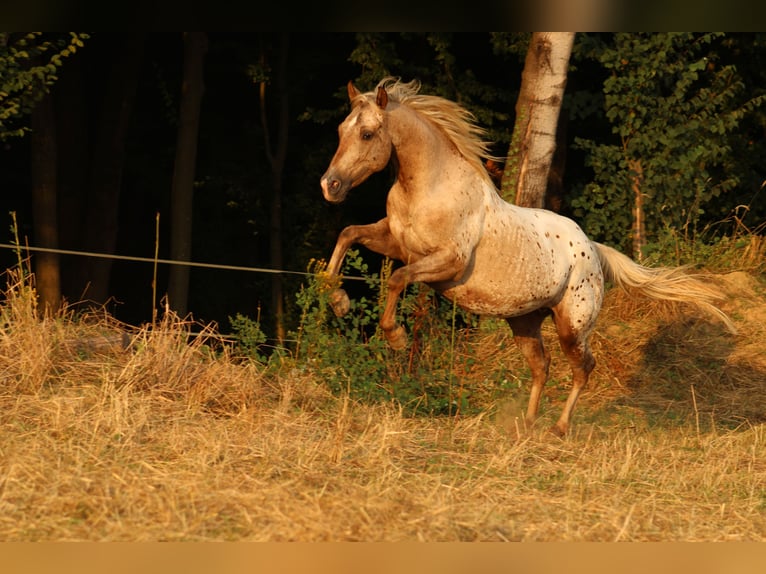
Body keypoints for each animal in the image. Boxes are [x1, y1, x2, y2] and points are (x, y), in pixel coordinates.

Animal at [320, 76, 736, 436]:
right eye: (340, 131)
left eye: (367, 134)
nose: (330, 185)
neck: (430, 188)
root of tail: (593, 249)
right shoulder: (396, 242)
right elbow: (347, 235)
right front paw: (338, 301)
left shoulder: (448, 262)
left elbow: (396, 278)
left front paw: (396, 337)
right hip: (524, 322)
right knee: (542, 366)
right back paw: (528, 423)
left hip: (571, 326)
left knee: (583, 367)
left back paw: (559, 428)